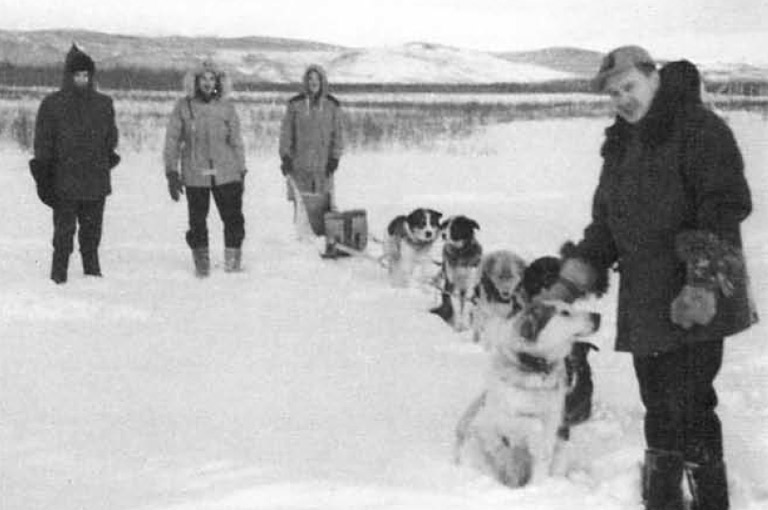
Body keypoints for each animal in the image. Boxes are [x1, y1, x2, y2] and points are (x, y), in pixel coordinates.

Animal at [456, 300, 600, 488]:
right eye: (565, 312)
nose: (598, 316)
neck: (534, 366)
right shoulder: (496, 423)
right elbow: (523, 425)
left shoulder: (553, 426)